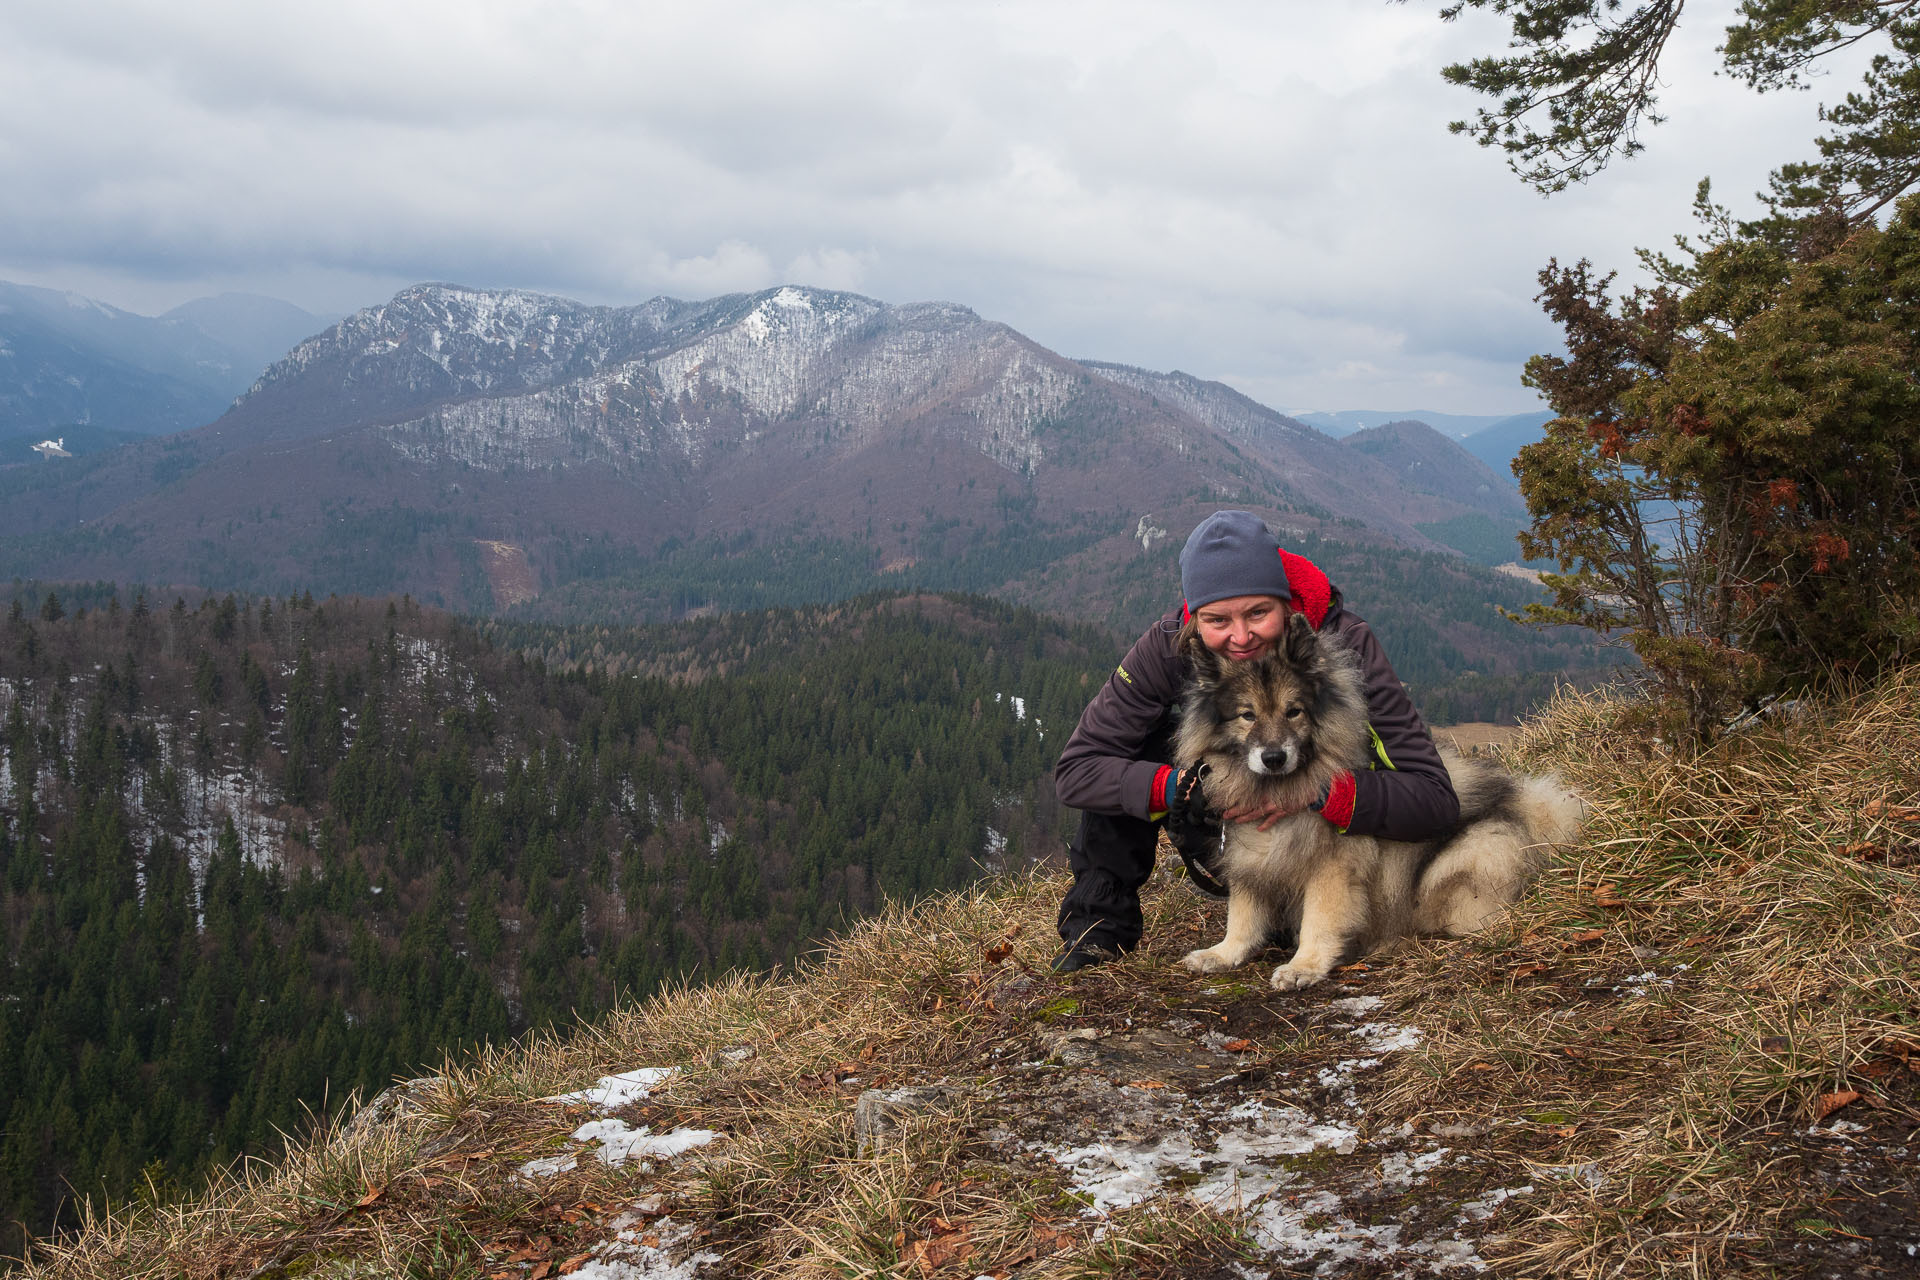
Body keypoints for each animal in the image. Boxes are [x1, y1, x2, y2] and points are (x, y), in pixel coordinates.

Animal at [1175, 610, 1582, 990]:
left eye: (1294, 711)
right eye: (1247, 715)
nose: (1273, 757)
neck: (1277, 788)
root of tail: (1532, 811)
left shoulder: (1333, 866)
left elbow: (1319, 918)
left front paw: (1304, 966)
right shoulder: (1249, 855)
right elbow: (1243, 915)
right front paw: (1223, 954)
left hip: (1474, 854)